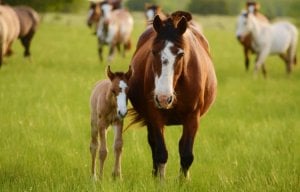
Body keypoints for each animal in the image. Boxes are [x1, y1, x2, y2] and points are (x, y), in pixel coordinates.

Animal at [127, 10, 217, 178]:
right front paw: (159, 180)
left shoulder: (192, 118)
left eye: (181, 54)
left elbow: (186, 155)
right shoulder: (155, 116)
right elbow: (161, 153)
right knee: (153, 145)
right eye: (153, 51)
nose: (163, 98)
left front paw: (183, 181)